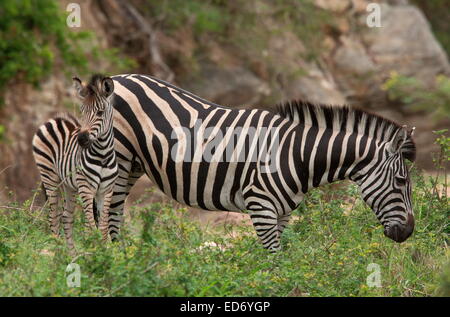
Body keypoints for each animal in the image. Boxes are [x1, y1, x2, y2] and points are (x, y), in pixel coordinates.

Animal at [32, 73, 118, 252]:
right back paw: (58, 253)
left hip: (69, 184)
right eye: (82, 111)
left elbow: (103, 228)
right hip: (49, 176)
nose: (81, 139)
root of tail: (53, 119)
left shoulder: (106, 190)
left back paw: (71, 254)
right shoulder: (86, 188)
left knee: (66, 216)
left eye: (100, 112)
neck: (103, 156)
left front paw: (103, 253)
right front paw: (94, 253)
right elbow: (91, 227)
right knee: (53, 217)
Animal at [107, 73, 416, 251]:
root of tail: (119, 76)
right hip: (118, 158)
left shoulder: (283, 213)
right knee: (108, 210)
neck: (296, 154)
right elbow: (274, 260)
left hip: (133, 165)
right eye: (401, 182)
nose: (408, 233)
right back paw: (114, 262)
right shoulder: (261, 206)